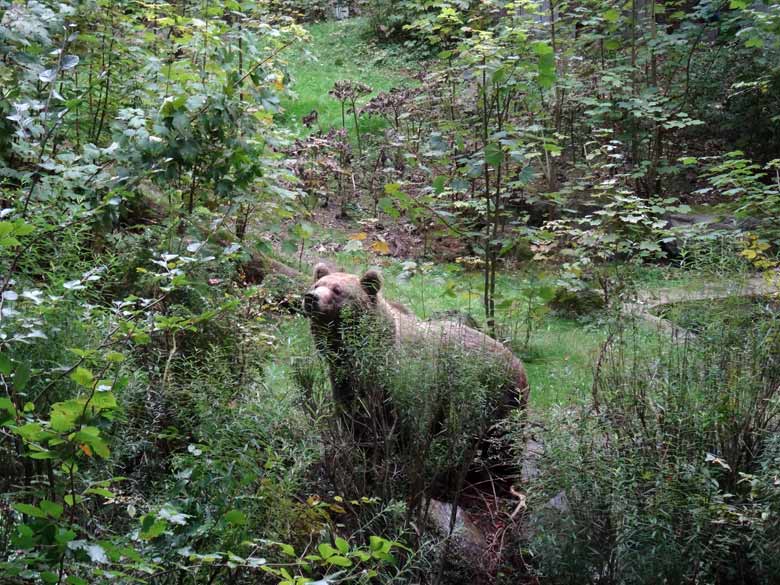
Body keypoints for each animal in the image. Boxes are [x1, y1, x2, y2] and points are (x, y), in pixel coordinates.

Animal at [300, 262, 532, 418]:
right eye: (317, 284)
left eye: (337, 290)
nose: (311, 298)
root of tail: (518, 362)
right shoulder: (343, 375)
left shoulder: (410, 377)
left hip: (501, 393)